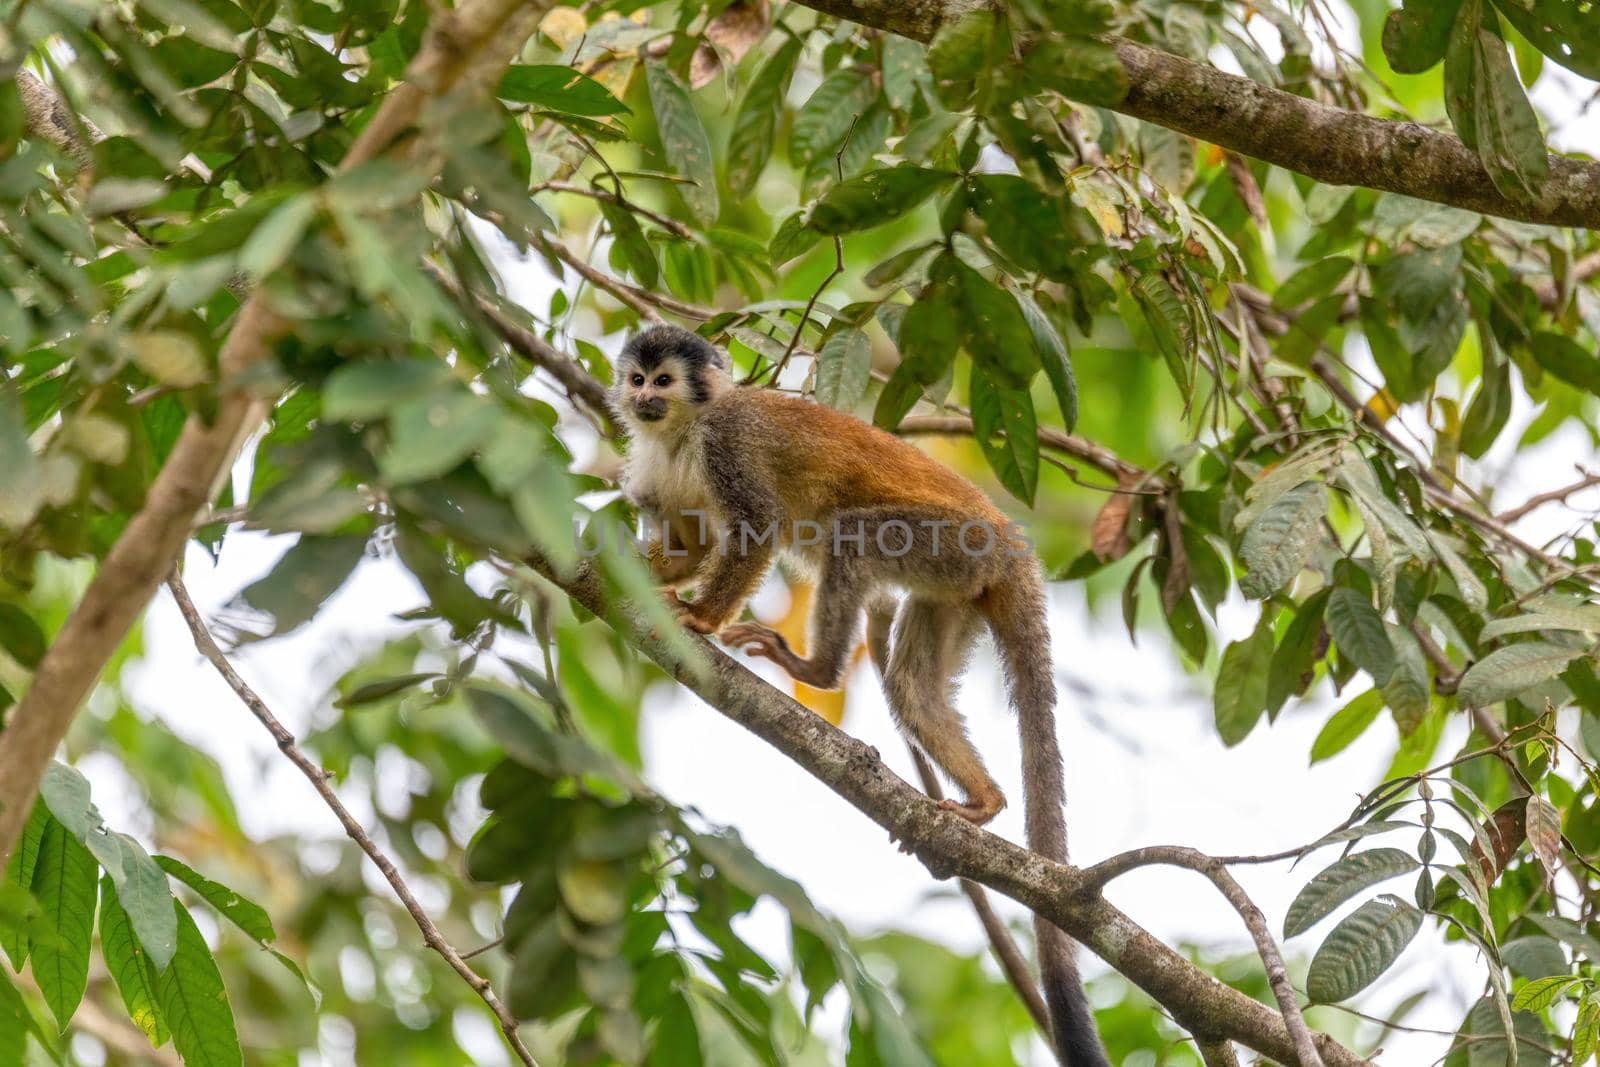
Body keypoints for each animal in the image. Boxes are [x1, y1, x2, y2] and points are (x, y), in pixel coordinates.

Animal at [604, 326, 1107, 1067]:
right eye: (636, 379)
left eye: (663, 381)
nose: (641, 399)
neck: (681, 430)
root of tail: (1008, 539)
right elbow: (694, 544)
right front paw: (631, 565)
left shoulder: (727, 442)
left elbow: (755, 525)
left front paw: (700, 618)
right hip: (958, 583)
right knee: (911, 686)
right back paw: (984, 801)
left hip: (948, 543)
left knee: (850, 536)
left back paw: (816, 670)